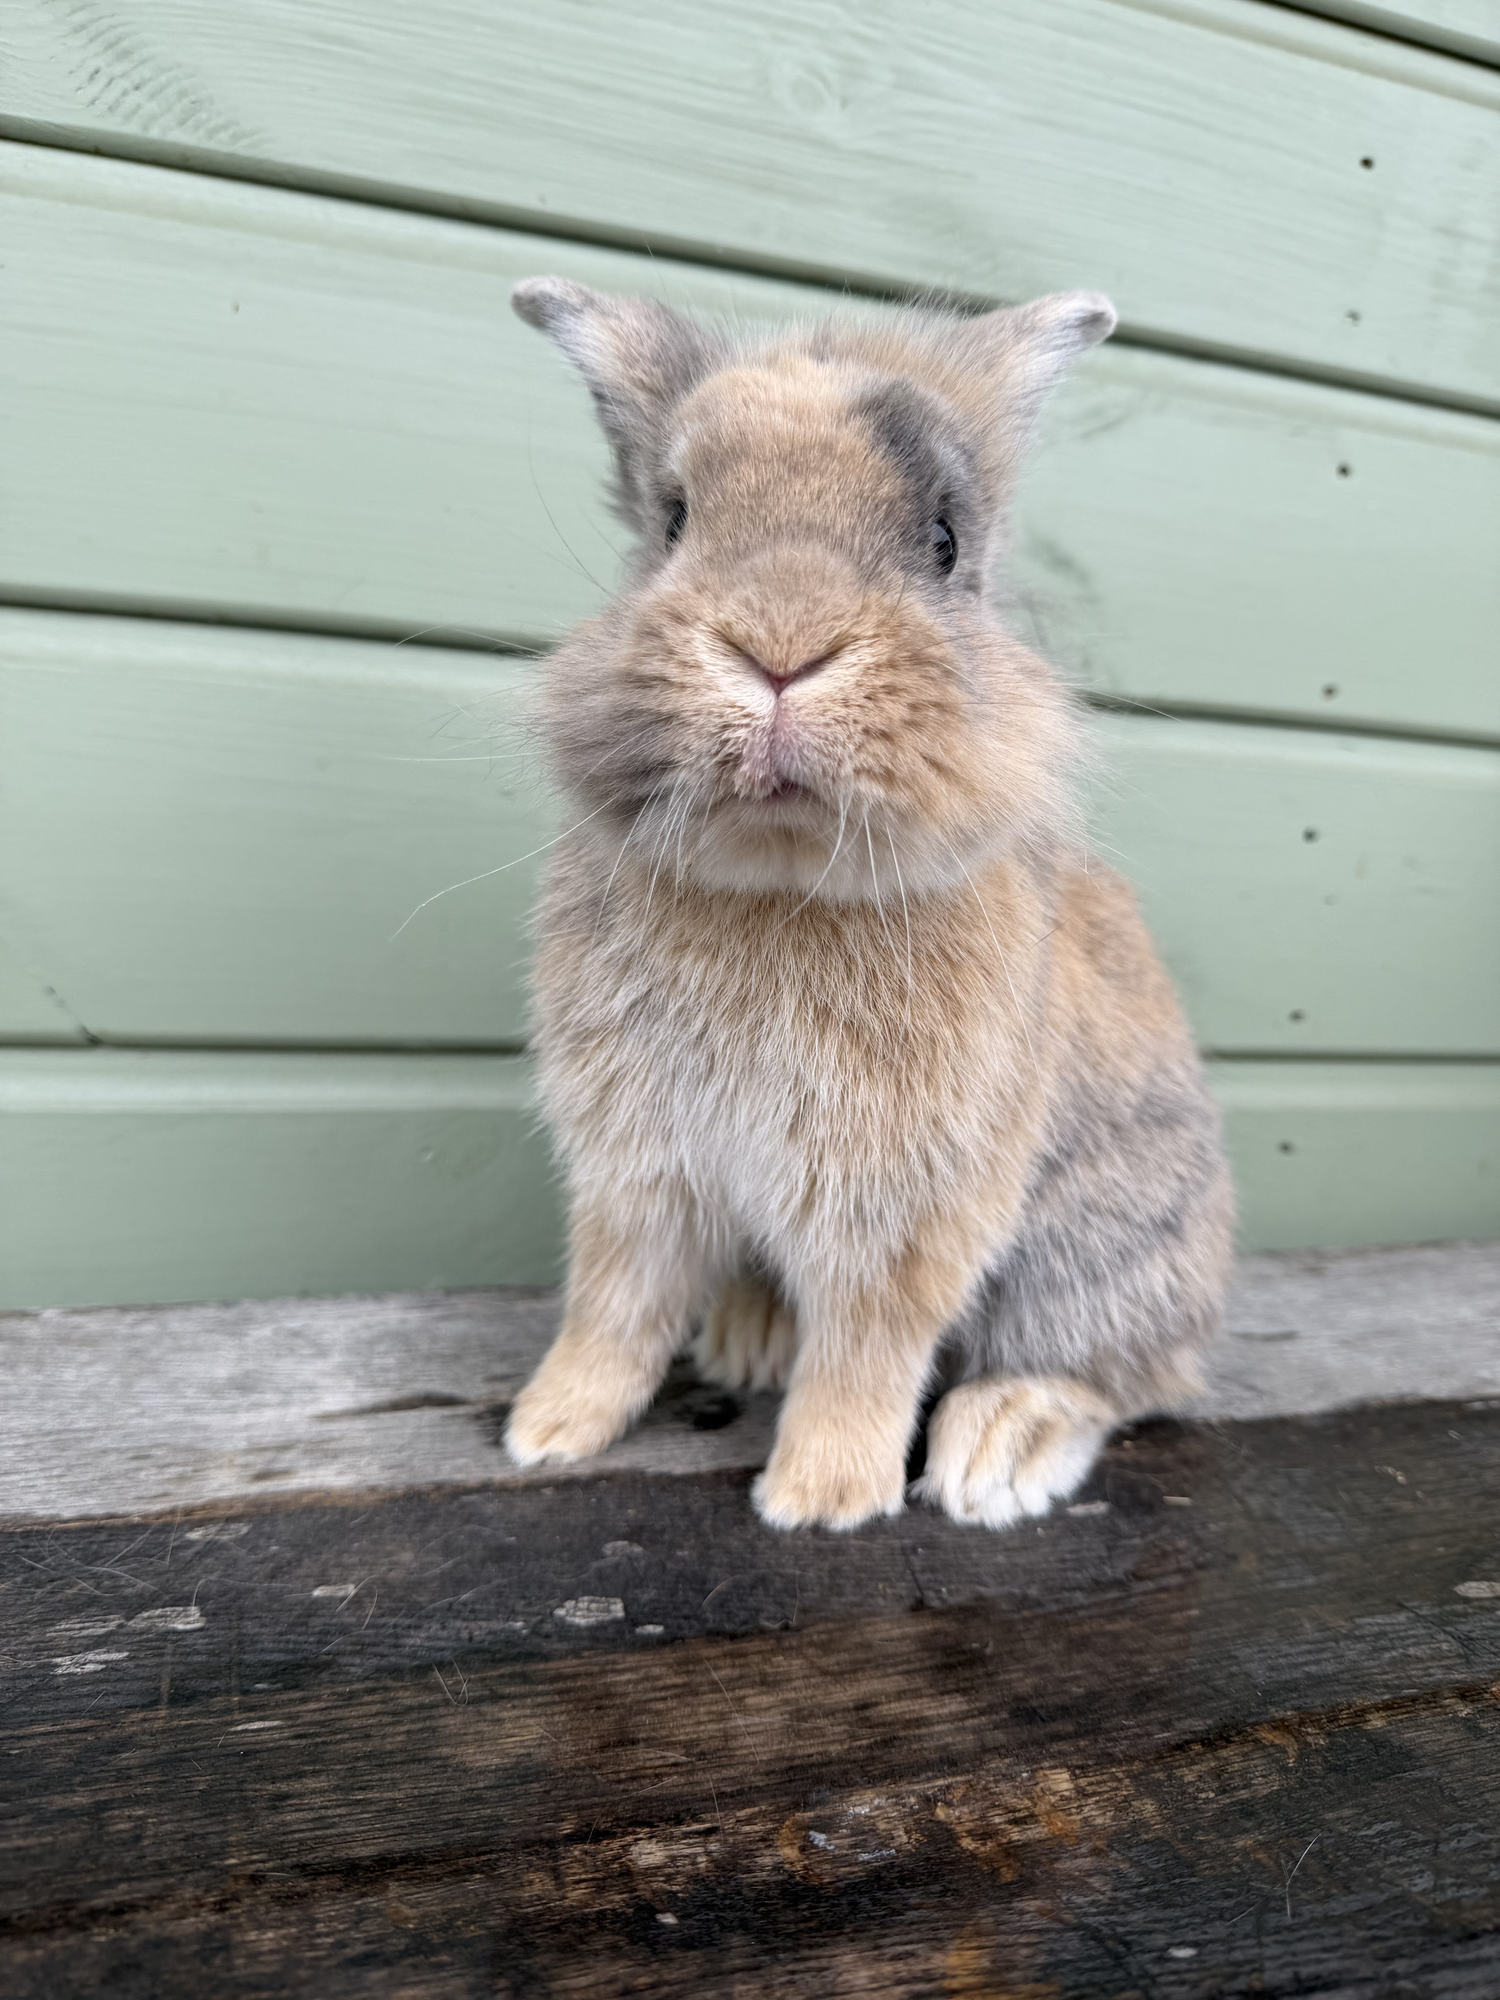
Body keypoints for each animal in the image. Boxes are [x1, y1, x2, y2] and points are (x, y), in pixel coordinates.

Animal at [503, 275, 1234, 1532]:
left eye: (944, 541)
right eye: (674, 520)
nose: (780, 646)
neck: (782, 876)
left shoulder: (905, 1203)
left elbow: (867, 1345)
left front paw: (822, 1497)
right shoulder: (637, 1167)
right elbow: (613, 1302)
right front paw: (546, 1430)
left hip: (1103, 1247)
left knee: (1132, 1370)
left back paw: (1003, 1443)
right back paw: (752, 1333)